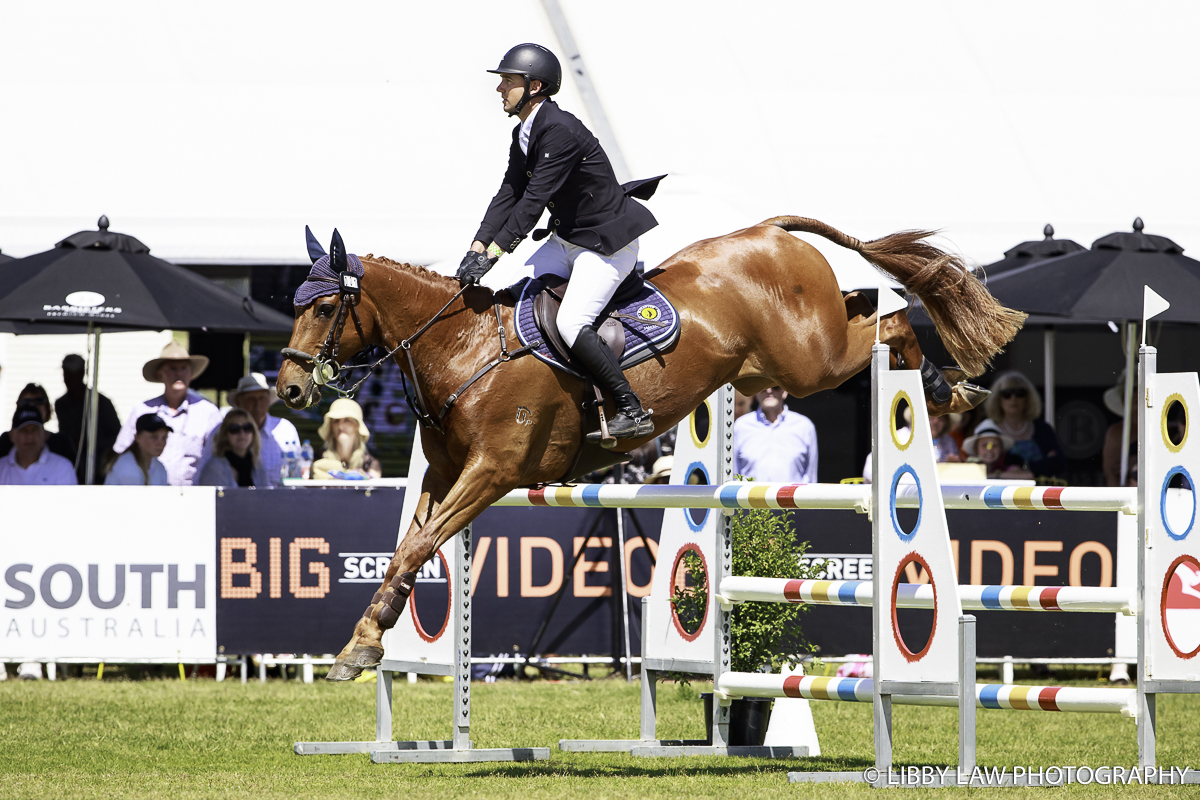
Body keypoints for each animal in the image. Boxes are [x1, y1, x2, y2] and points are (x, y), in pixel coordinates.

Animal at [278, 215, 1022, 681]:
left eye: (325, 308)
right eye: (294, 303)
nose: (287, 387)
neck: (461, 347)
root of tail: (769, 232)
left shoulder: (493, 472)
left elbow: (418, 546)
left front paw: (360, 647)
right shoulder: (444, 473)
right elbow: (411, 543)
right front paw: (364, 641)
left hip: (810, 360)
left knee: (889, 317)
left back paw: (946, 385)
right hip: (774, 364)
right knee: (870, 300)